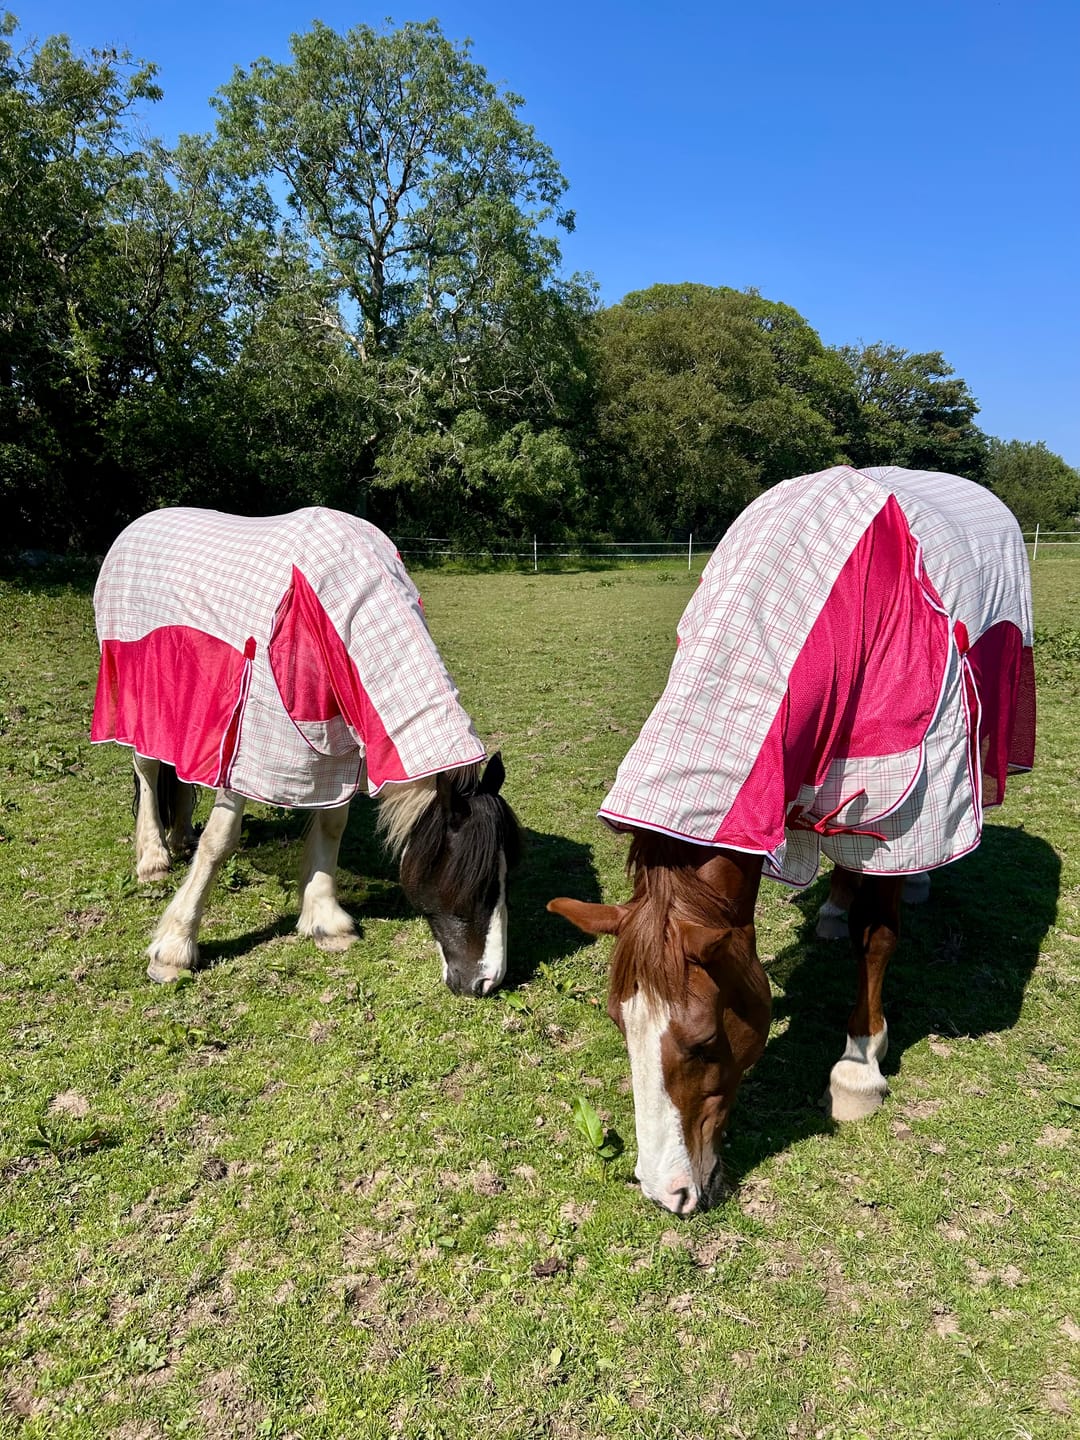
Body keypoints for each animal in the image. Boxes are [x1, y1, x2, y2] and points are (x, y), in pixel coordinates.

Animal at [91, 505, 521, 994]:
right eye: (475, 881)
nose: (487, 981)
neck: (329, 615)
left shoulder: (337, 750)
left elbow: (332, 824)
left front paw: (324, 920)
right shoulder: (249, 744)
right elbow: (220, 840)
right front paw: (175, 947)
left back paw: (180, 836)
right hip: (143, 697)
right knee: (146, 769)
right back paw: (154, 859)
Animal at [550, 466, 1035, 1215]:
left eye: (702, 1042)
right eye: (617, 1026)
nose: (666, 1192)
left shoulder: (903, 802)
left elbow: (879, 938)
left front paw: (860, 1065)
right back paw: (833, 908)